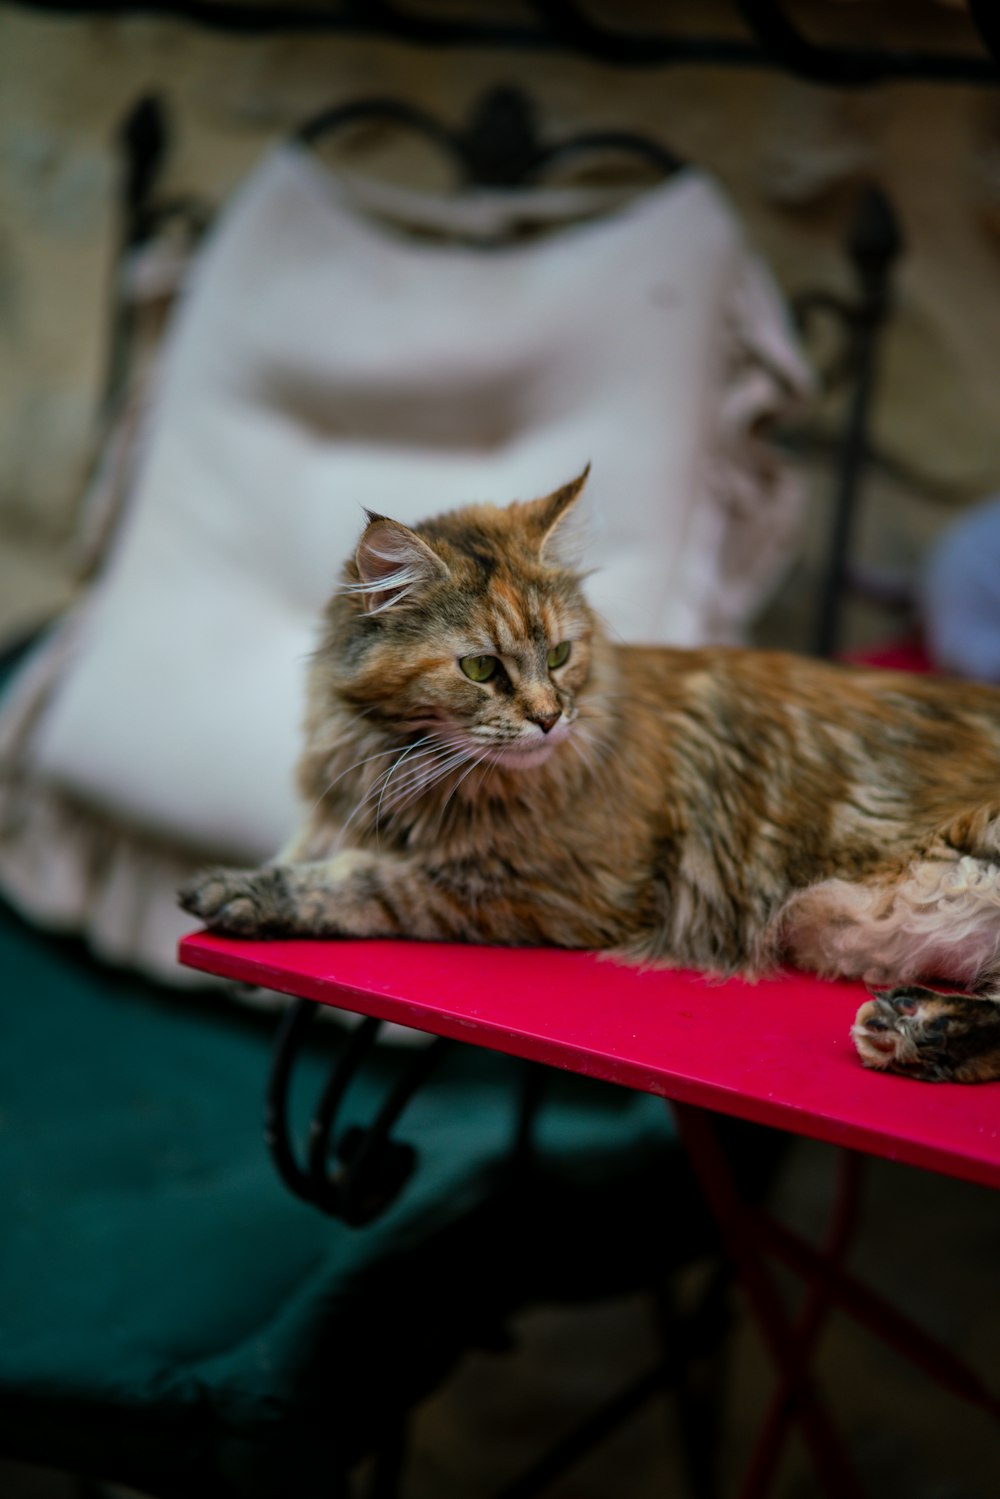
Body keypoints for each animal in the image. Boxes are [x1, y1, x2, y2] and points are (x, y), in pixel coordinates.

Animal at [182, 464, 1000, 1079]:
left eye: (560, 655)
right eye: (480, 668)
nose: (551, 718)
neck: (406, 771)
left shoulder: (549, 889)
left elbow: (368, 882)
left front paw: (241, 891)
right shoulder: (333, 818)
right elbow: (311, 853)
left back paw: (911, 1024)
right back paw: (915, 1028)